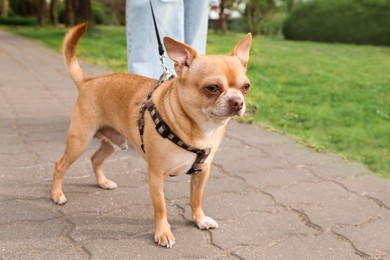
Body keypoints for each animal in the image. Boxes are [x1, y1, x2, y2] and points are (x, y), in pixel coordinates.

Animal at [51, 23, 253, 248]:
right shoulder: (156, 176)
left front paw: (199, 219)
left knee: (95, 159)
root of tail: (88, 81)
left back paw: (103, 182)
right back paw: (57, 194)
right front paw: (163, 233)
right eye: (212, 88)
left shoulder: (202, 172)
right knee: (60, 165)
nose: (237, 102)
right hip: (80, 140)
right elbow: (161, 208)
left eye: (246, 87)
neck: (200, 129)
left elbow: (196, 199)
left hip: (113, 142)